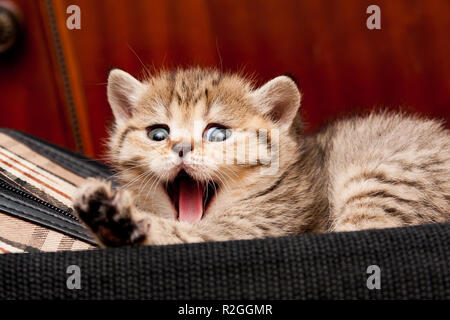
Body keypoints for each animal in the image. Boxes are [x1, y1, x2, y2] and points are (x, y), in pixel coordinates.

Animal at [72, 67, 448, 248]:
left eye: (217, 133)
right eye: (158, 134)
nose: (180, 148)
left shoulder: (253, 229)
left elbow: (183, 237)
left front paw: (117, 219)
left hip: (380, 179)